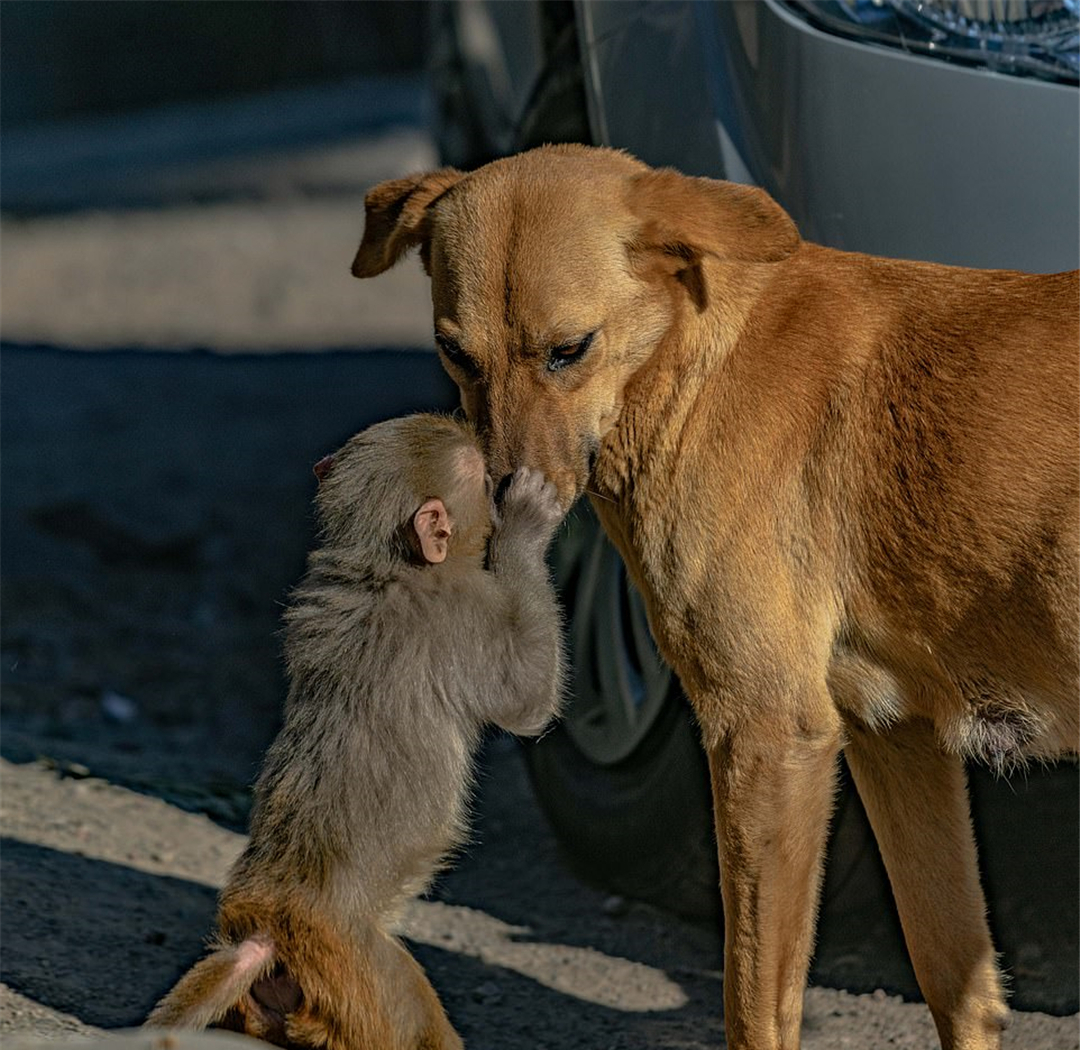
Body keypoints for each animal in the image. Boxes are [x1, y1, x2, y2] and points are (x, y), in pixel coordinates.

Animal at [147, 414, 570, 1050]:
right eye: (485, 483)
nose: (501, 480)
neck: (383, 567)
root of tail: (266, 930)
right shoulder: (464, 612)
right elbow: (529, 701)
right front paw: (526, 525)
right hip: (365, 973)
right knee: (414, 1017)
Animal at [349, 145, 1075, 1050]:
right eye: (455, 354)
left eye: (569, 350)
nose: (499, 513)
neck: (693, 361)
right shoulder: (895, 738)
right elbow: (956, 979)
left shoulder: (768, 734)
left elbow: (757, 1003)